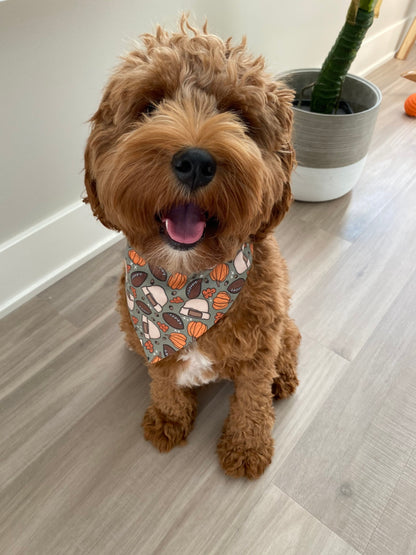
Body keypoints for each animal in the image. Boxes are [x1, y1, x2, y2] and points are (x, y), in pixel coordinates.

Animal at [83, 17, 300, 478]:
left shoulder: (258, 352)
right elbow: (165, 380)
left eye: (239, 115)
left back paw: (283, 377)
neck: (187, 283)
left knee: (292, 339)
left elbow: (252, 400)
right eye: (150, 106)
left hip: (283, 323)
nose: (196, 161)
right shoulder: (156, 344)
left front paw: (246, 447)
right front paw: (168, 417)